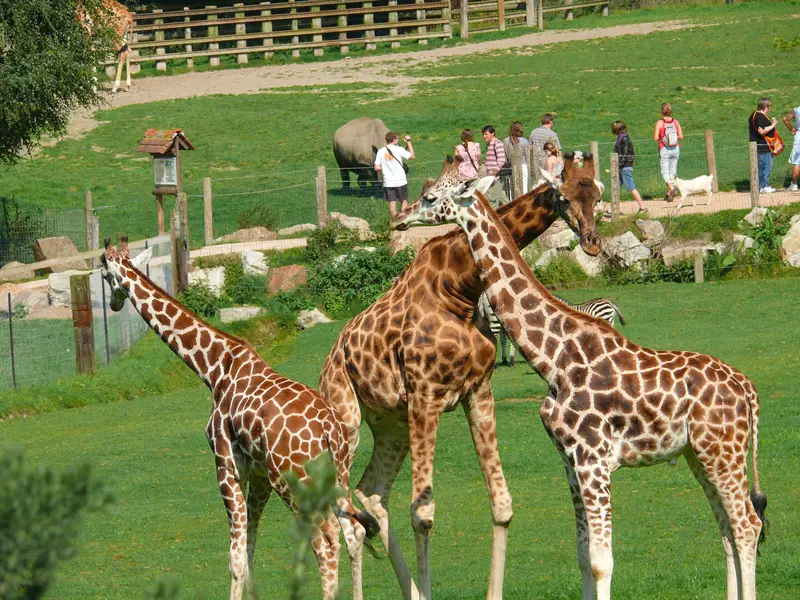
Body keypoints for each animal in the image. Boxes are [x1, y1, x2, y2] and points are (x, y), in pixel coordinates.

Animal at [101, 237, 382, 600]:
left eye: (104, 275)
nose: (113, 305)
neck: (214, 369)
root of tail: (330, 430)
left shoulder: (226, 465)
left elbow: (234, 556)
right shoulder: (258, 473)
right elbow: (249, 548)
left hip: (292, 480)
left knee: (326, 541)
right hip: (337, 475)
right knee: (353, 532)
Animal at [318, 154, 600, 600]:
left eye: (597, 194)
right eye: (566, 196)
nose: (592, 242)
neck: (459, 286)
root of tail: (330, 360)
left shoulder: (477, 391)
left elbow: (502, 505)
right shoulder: (425, 395)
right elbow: (423, 515)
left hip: (392, 425)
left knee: (372, 493)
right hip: (346, 420)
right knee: (347, 522)